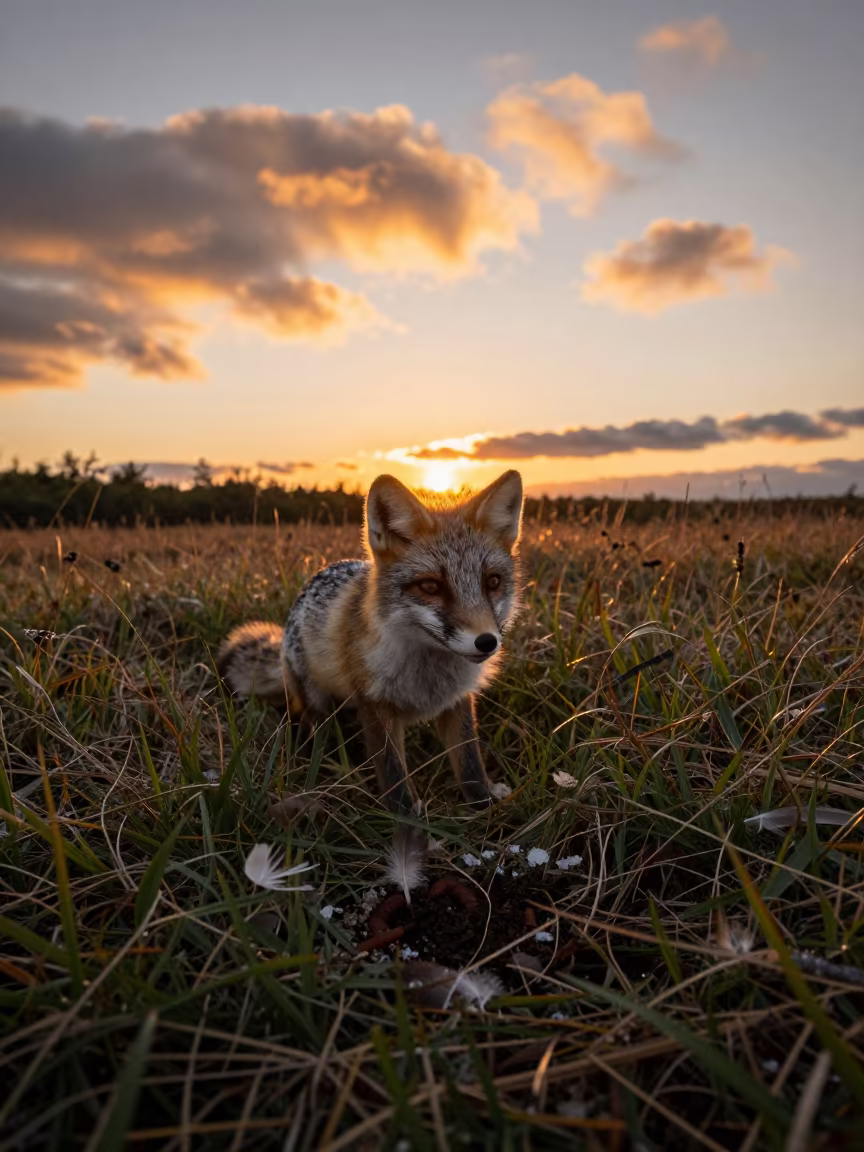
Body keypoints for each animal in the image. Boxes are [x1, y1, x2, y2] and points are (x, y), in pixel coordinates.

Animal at [218, 469, 523, 812]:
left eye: (492, 582)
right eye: (430, 587)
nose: (486, 642)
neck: (429, 680)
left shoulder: (458, 700)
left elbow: (470, 761)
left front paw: (483, 803)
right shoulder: (375, 703)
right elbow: (393, 772)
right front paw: (407, 818)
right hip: (317, 703)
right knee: (310, 726)